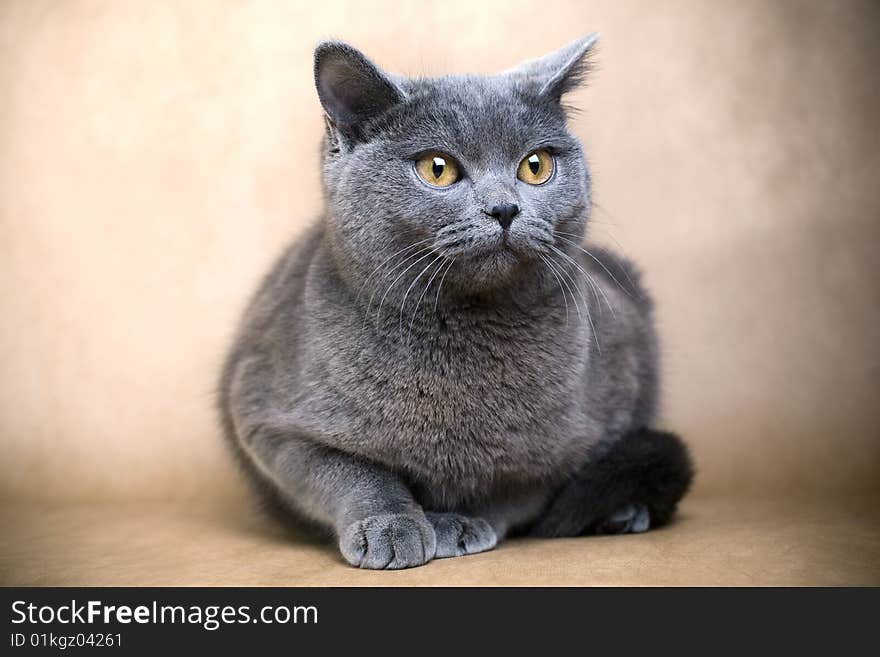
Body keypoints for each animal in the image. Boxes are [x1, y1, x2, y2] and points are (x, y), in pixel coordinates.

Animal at [218, 34, 696, 568]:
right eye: (438, 169)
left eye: (535, 166)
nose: (505, 208)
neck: (462, 333)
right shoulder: (266, 418)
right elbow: (350, 471)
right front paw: (392, 525)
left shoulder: (600, 410)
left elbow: (521, 485)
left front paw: (463, 521)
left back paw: (623, 513)